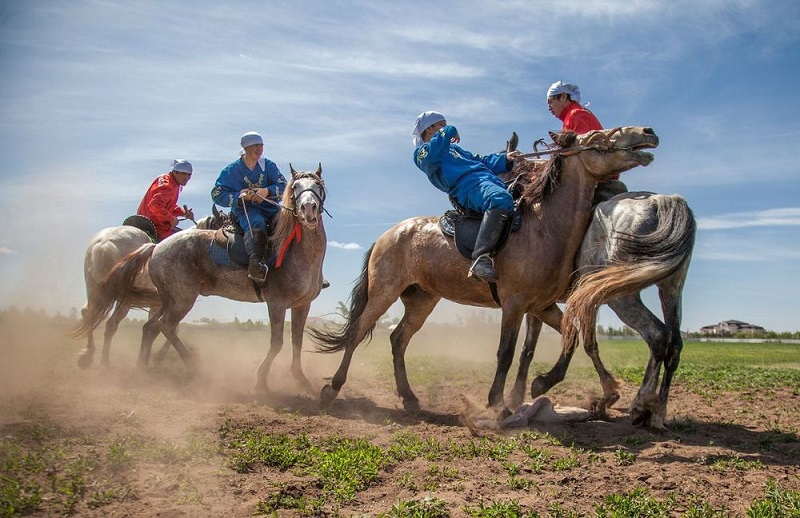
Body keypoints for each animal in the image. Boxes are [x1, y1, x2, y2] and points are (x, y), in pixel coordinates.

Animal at [72, 207, 228, 370]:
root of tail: (104, 244)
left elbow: (155, 327)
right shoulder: (164, 303)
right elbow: (166, 327)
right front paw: (157, 357)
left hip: (94, 287)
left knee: (88, 312)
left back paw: (88, 356)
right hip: (125, 300)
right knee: (110, 324)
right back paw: (103, 363)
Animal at [310, 127, 660, 414]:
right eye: (598, 137)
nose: (648, 132)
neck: (543, 227)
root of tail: (389, 234)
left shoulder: (542, 306)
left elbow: (577, 338)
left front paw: (598, 390)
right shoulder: (515, 304)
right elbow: (506, 352)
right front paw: (498, 403)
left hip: (421, 300)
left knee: (398, 339)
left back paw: (409, 397)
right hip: (384, 292)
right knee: (358, 332)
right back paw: (332, 389)